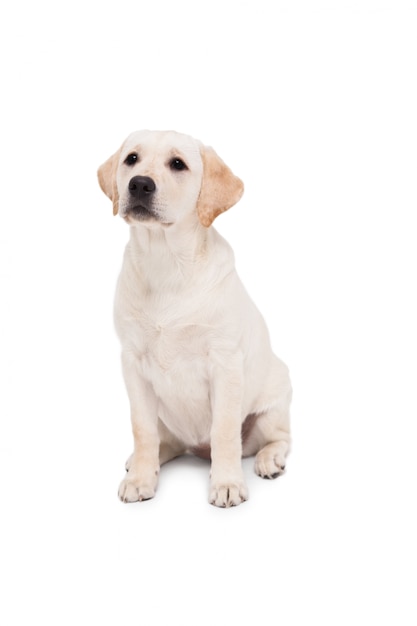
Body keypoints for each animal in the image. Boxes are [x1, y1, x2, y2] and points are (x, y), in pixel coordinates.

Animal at [98, 129, 292, 504]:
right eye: (131, 159)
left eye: (178, 164)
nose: (139, 184)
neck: (165, 262)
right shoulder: (132, 362)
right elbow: (141, 429)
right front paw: (141, 479)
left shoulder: (225, 362)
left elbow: (225, 431)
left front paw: (227, 483)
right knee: (165, 441)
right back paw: (140, 462)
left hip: (273, 404)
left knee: (279, 438)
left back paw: (269, 459)